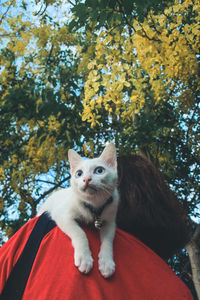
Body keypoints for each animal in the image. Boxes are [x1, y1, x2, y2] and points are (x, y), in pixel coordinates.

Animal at [37, 144, 119, 278]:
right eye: (79, 173)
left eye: (99, 171)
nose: (86, 179)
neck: (94, 206)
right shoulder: (62, 215)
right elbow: (80, 233)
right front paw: (84, 258)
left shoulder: (110, 222)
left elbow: (108, 241)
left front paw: (106, 262)